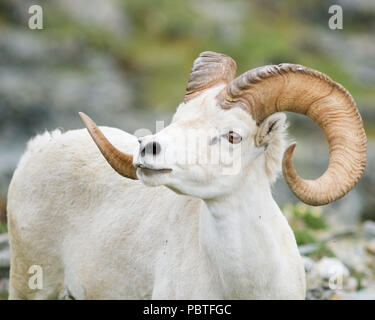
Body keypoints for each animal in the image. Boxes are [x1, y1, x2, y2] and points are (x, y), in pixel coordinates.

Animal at [7, 51, 368, 298]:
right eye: (178, 119)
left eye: (233, 136)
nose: (147, 149)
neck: (245, 284)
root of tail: (40, 146)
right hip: (32, 282)